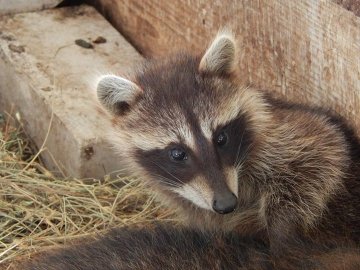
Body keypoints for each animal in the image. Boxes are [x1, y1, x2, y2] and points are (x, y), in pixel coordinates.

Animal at [21, 31, 360, 268]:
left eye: (221, 138)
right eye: (177, 153)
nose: (226, 203)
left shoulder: (290, 134)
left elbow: (323, 153)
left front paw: (283, 232)